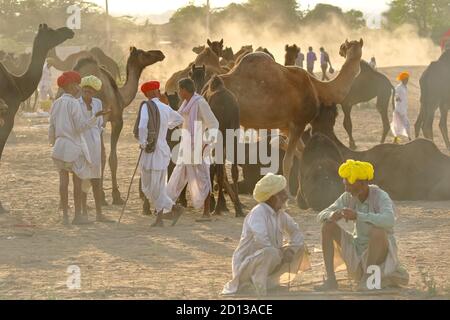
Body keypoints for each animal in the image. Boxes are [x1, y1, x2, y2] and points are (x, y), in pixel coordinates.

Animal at [72, 46, 165, 204]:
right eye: (144, 52)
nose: (160, 53)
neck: (121, 96)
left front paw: (102, 194)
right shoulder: (116, 120)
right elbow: (110, 158)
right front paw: (113, 195)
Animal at [216, 38, 364, 199]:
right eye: (346, 46)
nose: (340, 49)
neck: (317, 87)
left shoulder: (287, 126)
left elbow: (302, 152)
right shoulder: (299, 123)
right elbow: (288, 161)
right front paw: (289, 194)